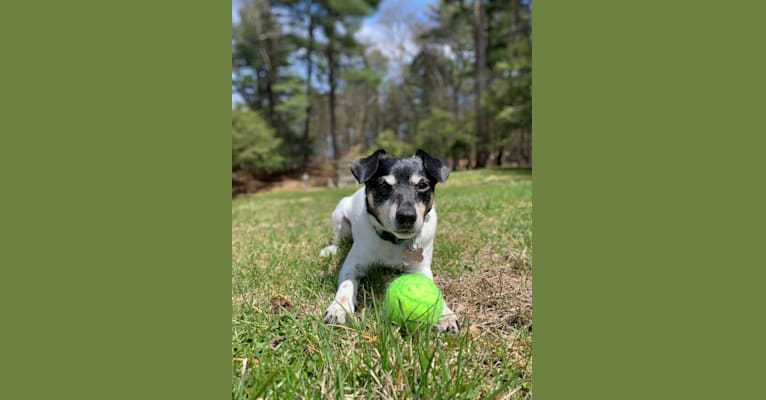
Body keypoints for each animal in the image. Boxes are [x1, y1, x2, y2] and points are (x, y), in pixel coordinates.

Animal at [320, 148, 460, 332]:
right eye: (383, 186)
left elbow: (434, 290)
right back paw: (330, 250)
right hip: (339, 218)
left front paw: (445, 314)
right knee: (338, 241)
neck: (394, 241)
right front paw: (338, 308)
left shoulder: (421, 269)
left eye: (422, 185)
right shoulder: (351, 266)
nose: (407, 216)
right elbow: (346, 285)